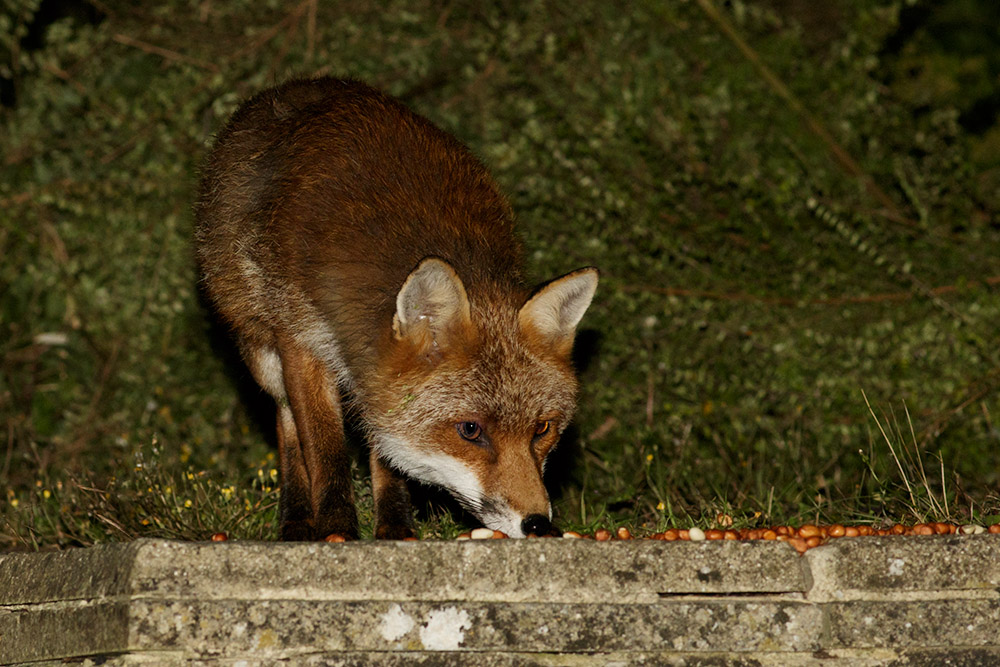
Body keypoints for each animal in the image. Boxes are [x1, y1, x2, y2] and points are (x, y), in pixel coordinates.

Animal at [194, 77, 598, 541]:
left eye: (542, 429)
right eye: (470, 430)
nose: (537, 525)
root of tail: (307, 83)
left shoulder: (377, 376)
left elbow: (386, 451)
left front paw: (395, 526)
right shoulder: (301, 340)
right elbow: (324, 447)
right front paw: (336, 529)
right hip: (264, 354)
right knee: (287, 425)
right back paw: (296, 520)